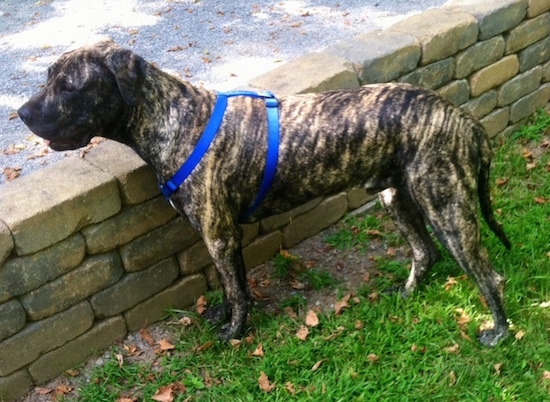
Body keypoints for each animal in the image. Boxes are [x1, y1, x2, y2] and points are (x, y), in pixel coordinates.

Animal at [19, 41, 516, 348]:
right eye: (48, 77)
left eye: (69, 86)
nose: (22, 113)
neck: (175, 117)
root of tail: (463, 118)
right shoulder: (221, 238)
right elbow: (231, 285)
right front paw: (225, 318)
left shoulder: (219, 236)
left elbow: (238, 291)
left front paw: (234, 334)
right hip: (397, 196)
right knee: (424, 252)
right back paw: (407, 294)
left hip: (446, 206)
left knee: (489, 275)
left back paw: (499, 333)